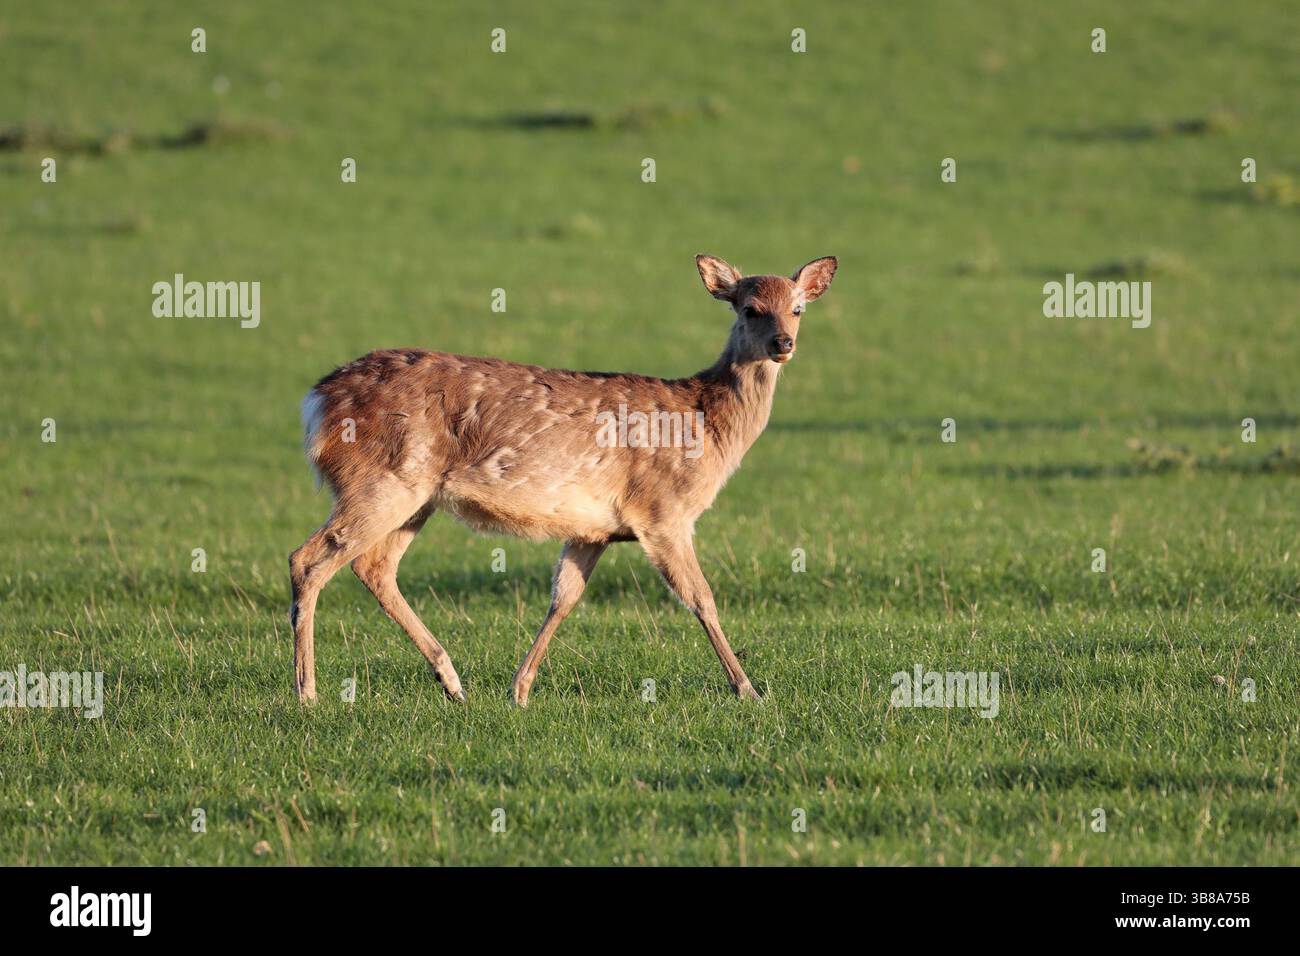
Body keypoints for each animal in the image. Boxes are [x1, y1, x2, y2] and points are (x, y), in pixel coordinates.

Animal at [289, 254, 837, 706]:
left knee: (374, 567)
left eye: (797, 308)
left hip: (415, 496)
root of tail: (316, 402)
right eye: (749, 308)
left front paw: (520, 689)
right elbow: (701, 598)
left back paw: (452, 682)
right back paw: (308, 692)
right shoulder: (662, 511)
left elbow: (564, 598)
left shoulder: (594, 528)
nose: (782, 343)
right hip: (382, 479)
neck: (706, 423)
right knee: (308, 559)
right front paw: (748, 690)